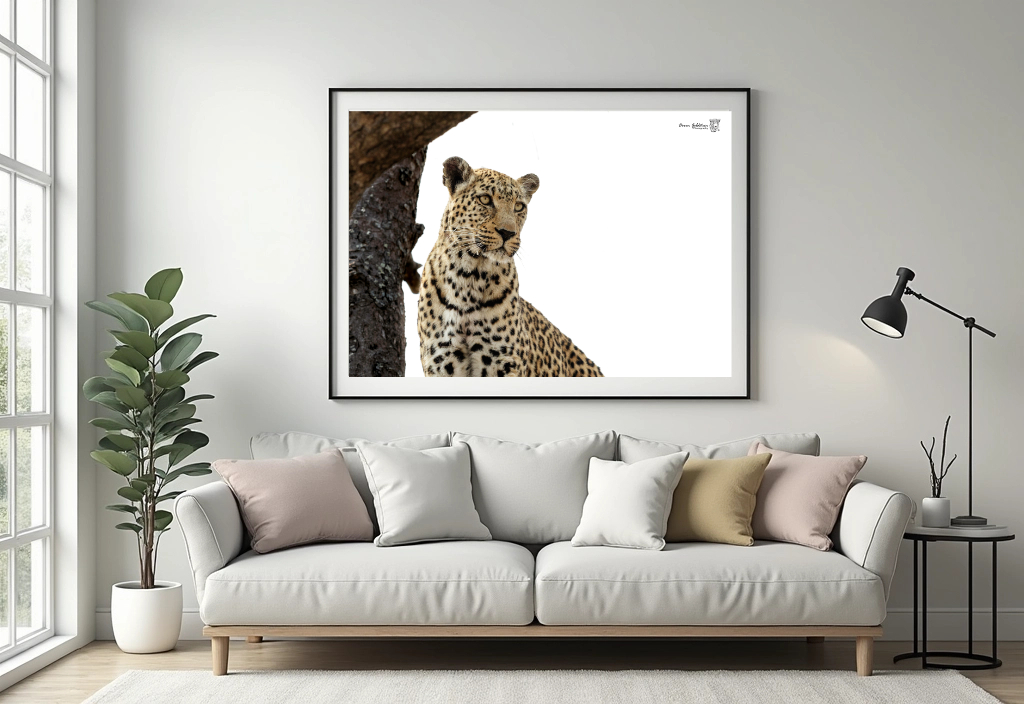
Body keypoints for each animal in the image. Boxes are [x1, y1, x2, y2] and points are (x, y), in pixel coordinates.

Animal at [416, 156, 603, 378]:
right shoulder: (442, 363)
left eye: (519, 206)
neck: (469, 276)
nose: (507, 233)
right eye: (485, 199)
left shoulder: (504, 363)